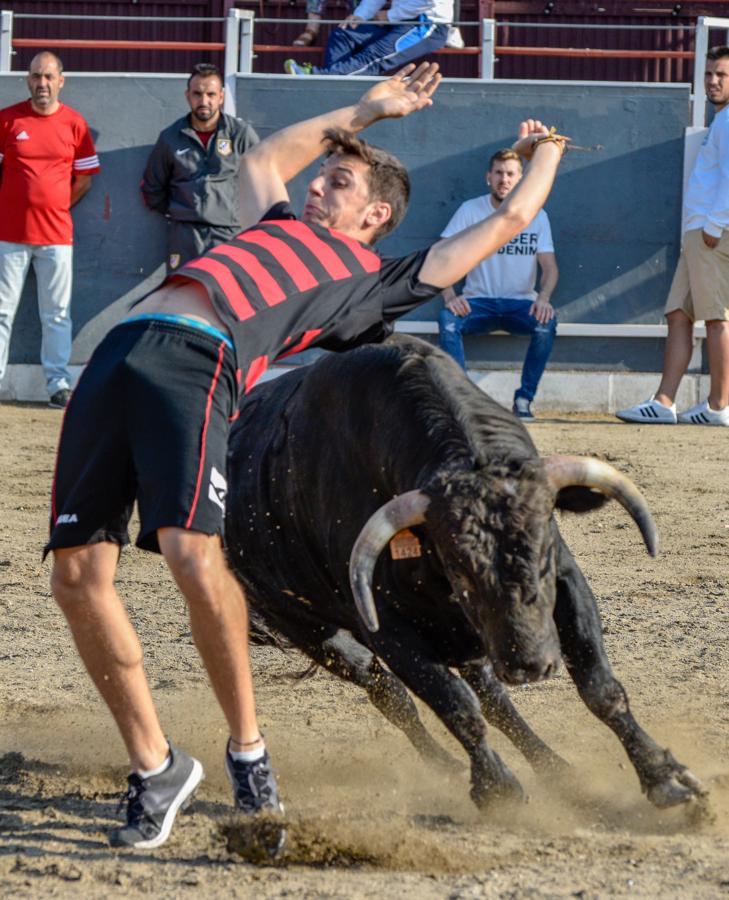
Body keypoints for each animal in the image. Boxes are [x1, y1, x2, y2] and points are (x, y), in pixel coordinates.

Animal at [225, 336, 704, 808]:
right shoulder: (391, 632)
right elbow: (455, 706)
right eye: (457, 565)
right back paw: (448, 765)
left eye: (544, 546)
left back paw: (554, 768)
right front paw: (498, 789)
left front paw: (665, 780)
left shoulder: (567, 585)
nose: (530, 665)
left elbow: (599, 687)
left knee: (495, 699)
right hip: (308, 628)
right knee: (390, 693)